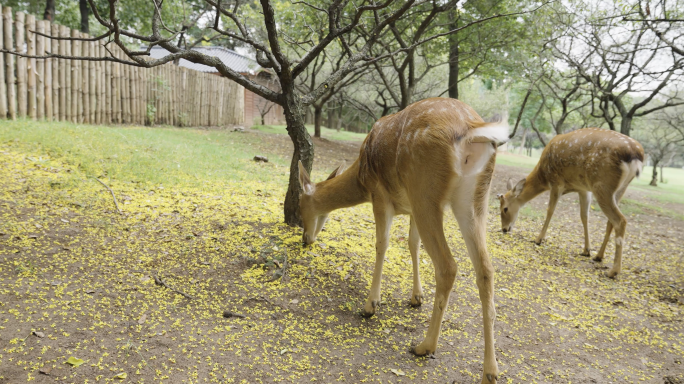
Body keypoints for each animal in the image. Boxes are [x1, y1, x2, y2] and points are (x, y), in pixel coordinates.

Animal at [298, 97, 508, 382]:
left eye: (300, 206)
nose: (305, 238)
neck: (361, 177)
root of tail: (472, 127)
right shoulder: (408, 209)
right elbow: (411, 244)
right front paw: (416, 297)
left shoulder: (380, 195)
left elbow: (382, 243)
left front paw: (370, 305)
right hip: (474, 199)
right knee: (486, 269)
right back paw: (490, 371)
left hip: (425, 191)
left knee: (448, 266)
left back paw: (424, 346)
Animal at [494, 127, 644, 278]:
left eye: (505, 208)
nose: (504, 229)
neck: (543, 176)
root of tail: (636, 154)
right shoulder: (583, 189)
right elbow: (584, 216)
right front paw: (586, 250)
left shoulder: (556, 182)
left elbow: (550, 210)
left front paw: (538, 239)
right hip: (619, 189)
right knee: (610, 221)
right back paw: (599, 256)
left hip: (602, 185)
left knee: (620, 220)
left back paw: (613, 271)